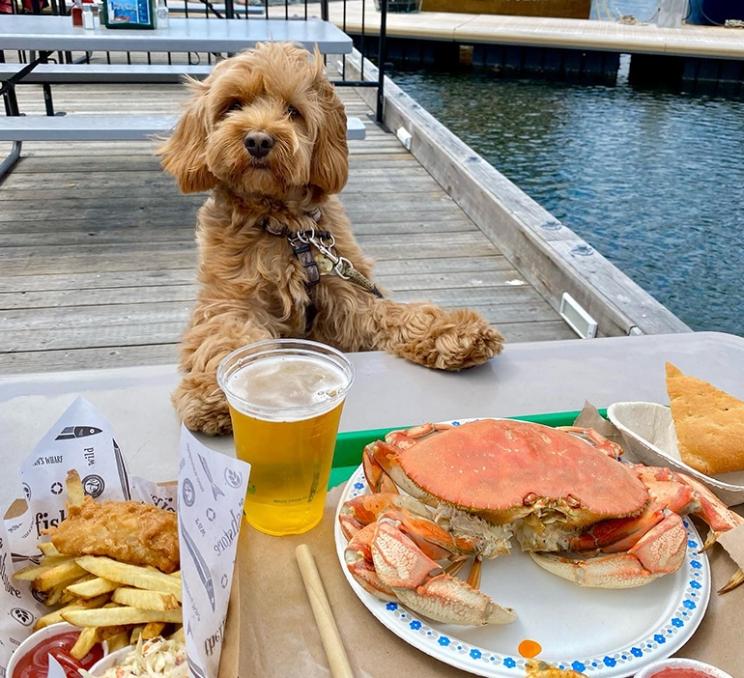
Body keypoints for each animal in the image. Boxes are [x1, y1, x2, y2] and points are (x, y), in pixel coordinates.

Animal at [159, 43, 502, 436]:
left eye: (293, 111)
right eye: (232, 105)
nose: (258, 140)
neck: (285, 228)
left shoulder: (348, 302)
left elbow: (397, 314)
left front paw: (458, 330)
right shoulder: (228, 301)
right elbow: (225, 339)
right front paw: (213, 394)